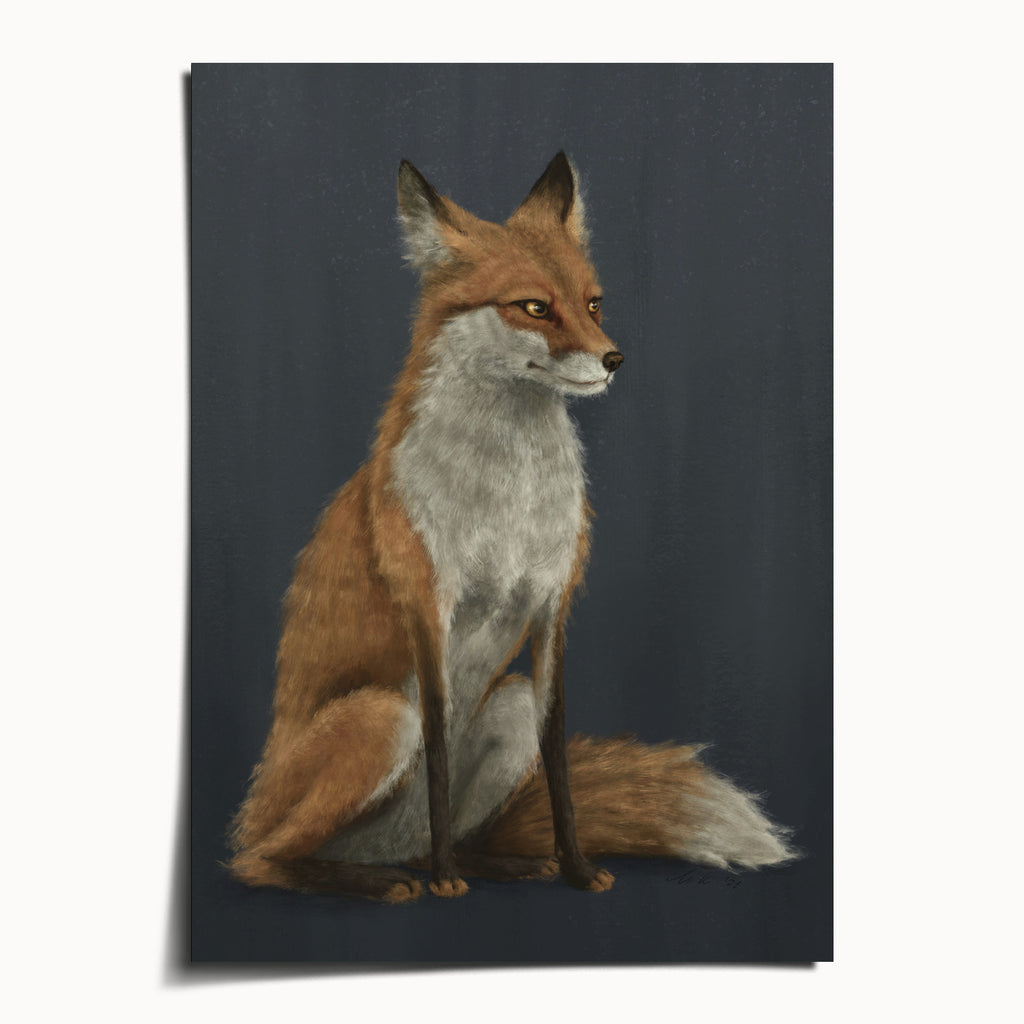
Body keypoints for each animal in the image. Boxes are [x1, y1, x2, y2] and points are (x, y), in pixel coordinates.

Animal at [228, 152, 797, 903]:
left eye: (593, 303)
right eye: (534, 307)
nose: (615, 359)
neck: (509, 498)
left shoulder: (552, 607)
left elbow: (557, 760)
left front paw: (576, 868)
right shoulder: (428, 607)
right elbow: (439, 750)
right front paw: (446, 882)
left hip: (508, 705)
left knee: (441, 831)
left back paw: (492, 863)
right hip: (380, 718)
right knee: (261, 860)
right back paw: (383, 879)